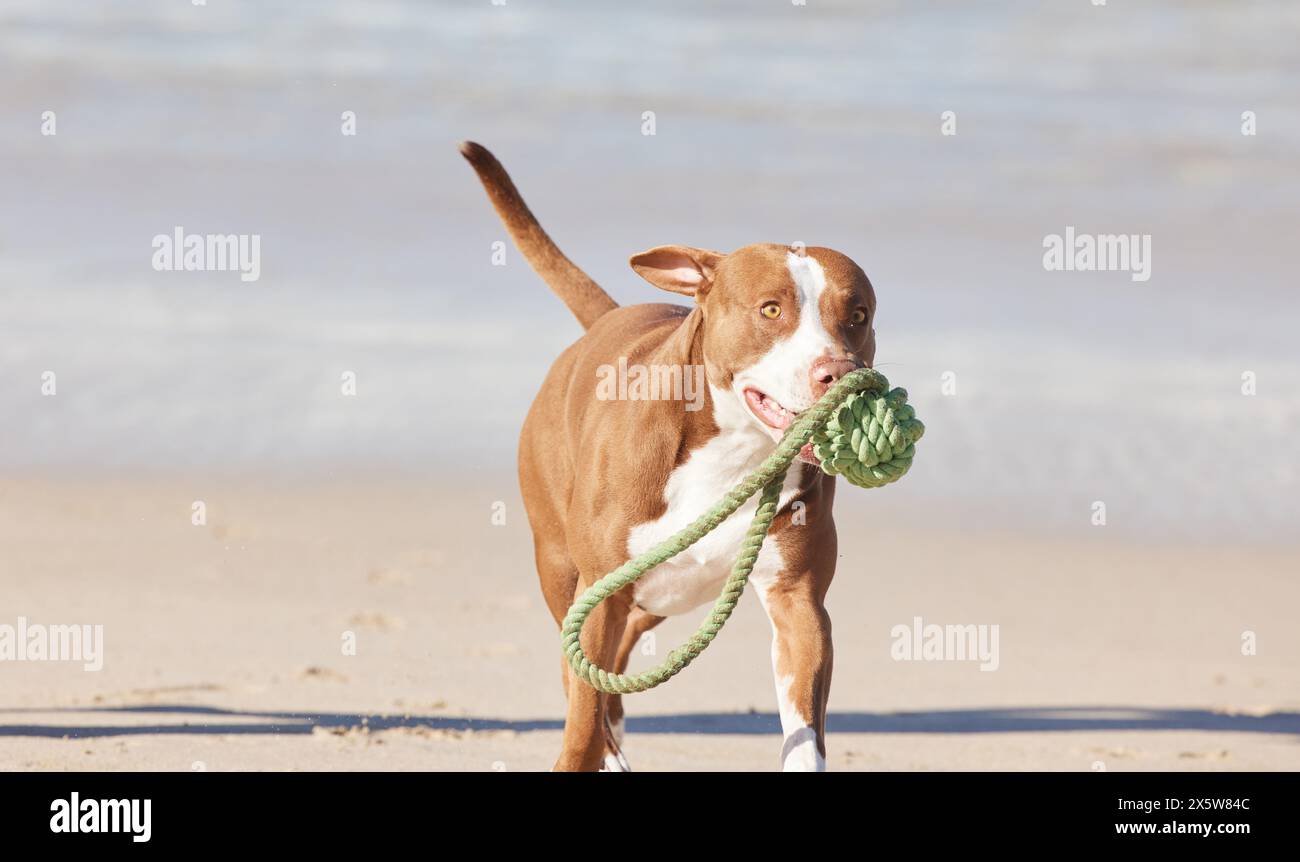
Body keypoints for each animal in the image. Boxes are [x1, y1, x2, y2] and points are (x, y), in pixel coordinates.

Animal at [462, 141, 878, 774]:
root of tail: (608, 316)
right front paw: (585, 750)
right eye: (771, 310)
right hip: (562, 566)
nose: (839, 371)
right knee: (575, 671)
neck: (733, 451)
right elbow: (581, 714)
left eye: (857, 316)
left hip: (665, 593)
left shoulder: (799, 604)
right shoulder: (598, 595)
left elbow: (805, 728)